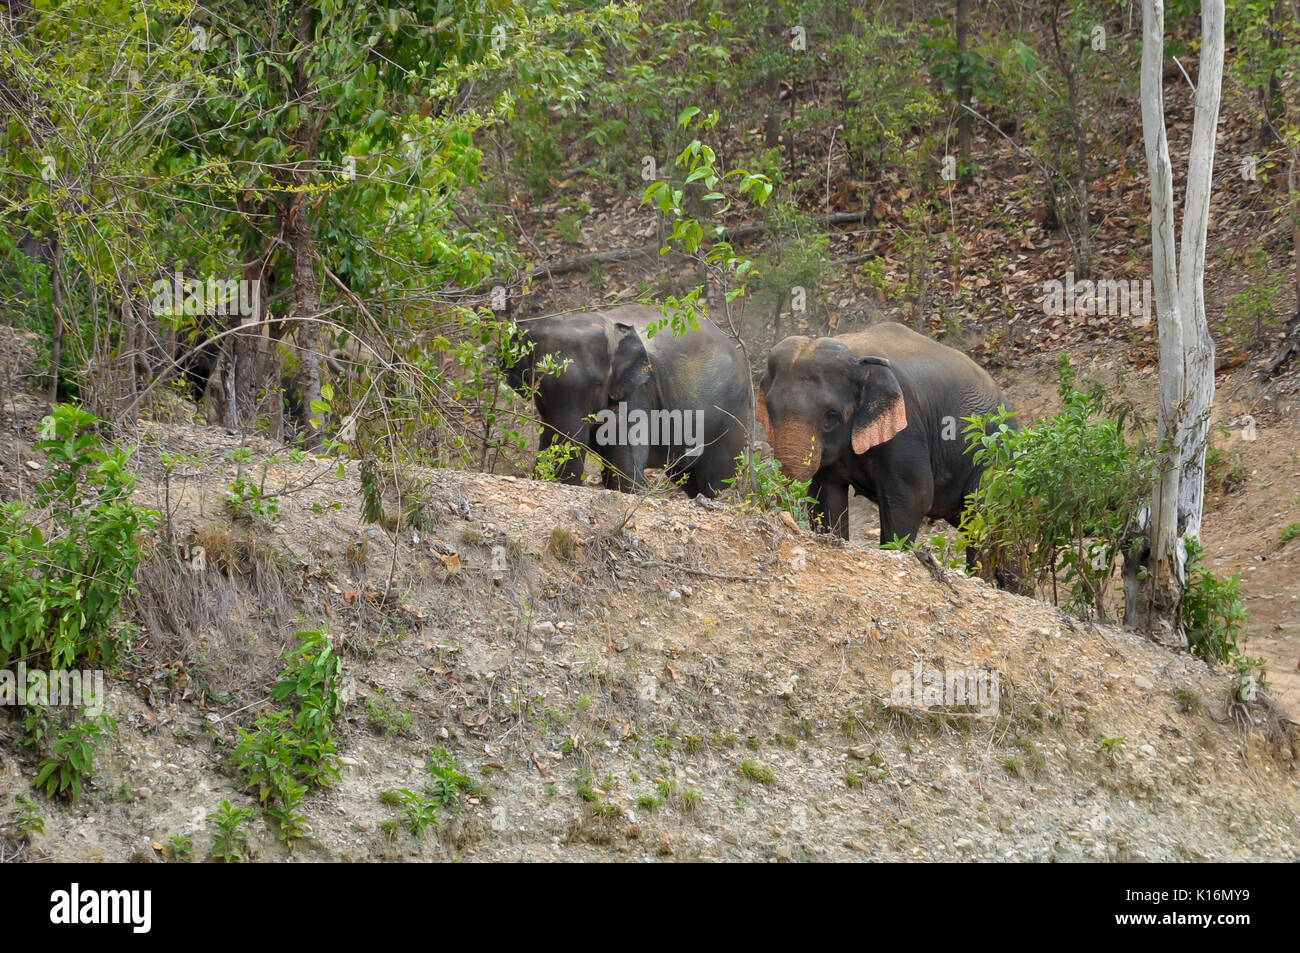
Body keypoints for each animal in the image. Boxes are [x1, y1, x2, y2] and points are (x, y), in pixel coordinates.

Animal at [506, 304, 754, 499]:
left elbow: (624, 458)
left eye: (599, 383)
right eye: (537, 386)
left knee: (714, 479)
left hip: (731, 417)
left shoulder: (638, 390)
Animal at [754, 319, 1013, 543]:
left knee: (983, 514)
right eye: (771, 410)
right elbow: (825, 496)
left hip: (991, 456)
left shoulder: (907, 428)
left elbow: (912, 497)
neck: (857, 356)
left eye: (831, 417)